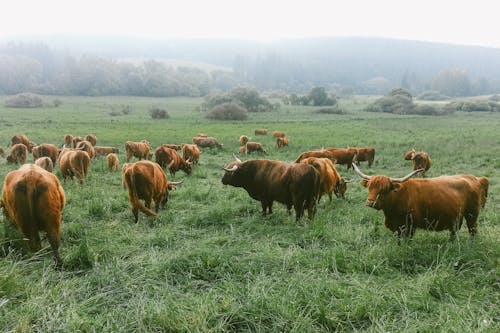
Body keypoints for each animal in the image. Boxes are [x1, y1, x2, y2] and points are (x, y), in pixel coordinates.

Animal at [352, 162, 488, 240]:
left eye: (384, 190)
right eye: (370, 187)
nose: (370, 203)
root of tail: (474, 178)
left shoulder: (410, 226)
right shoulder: (397, 228)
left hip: (472, 215)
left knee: (472, 231)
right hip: (455, 218)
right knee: (454, 232)